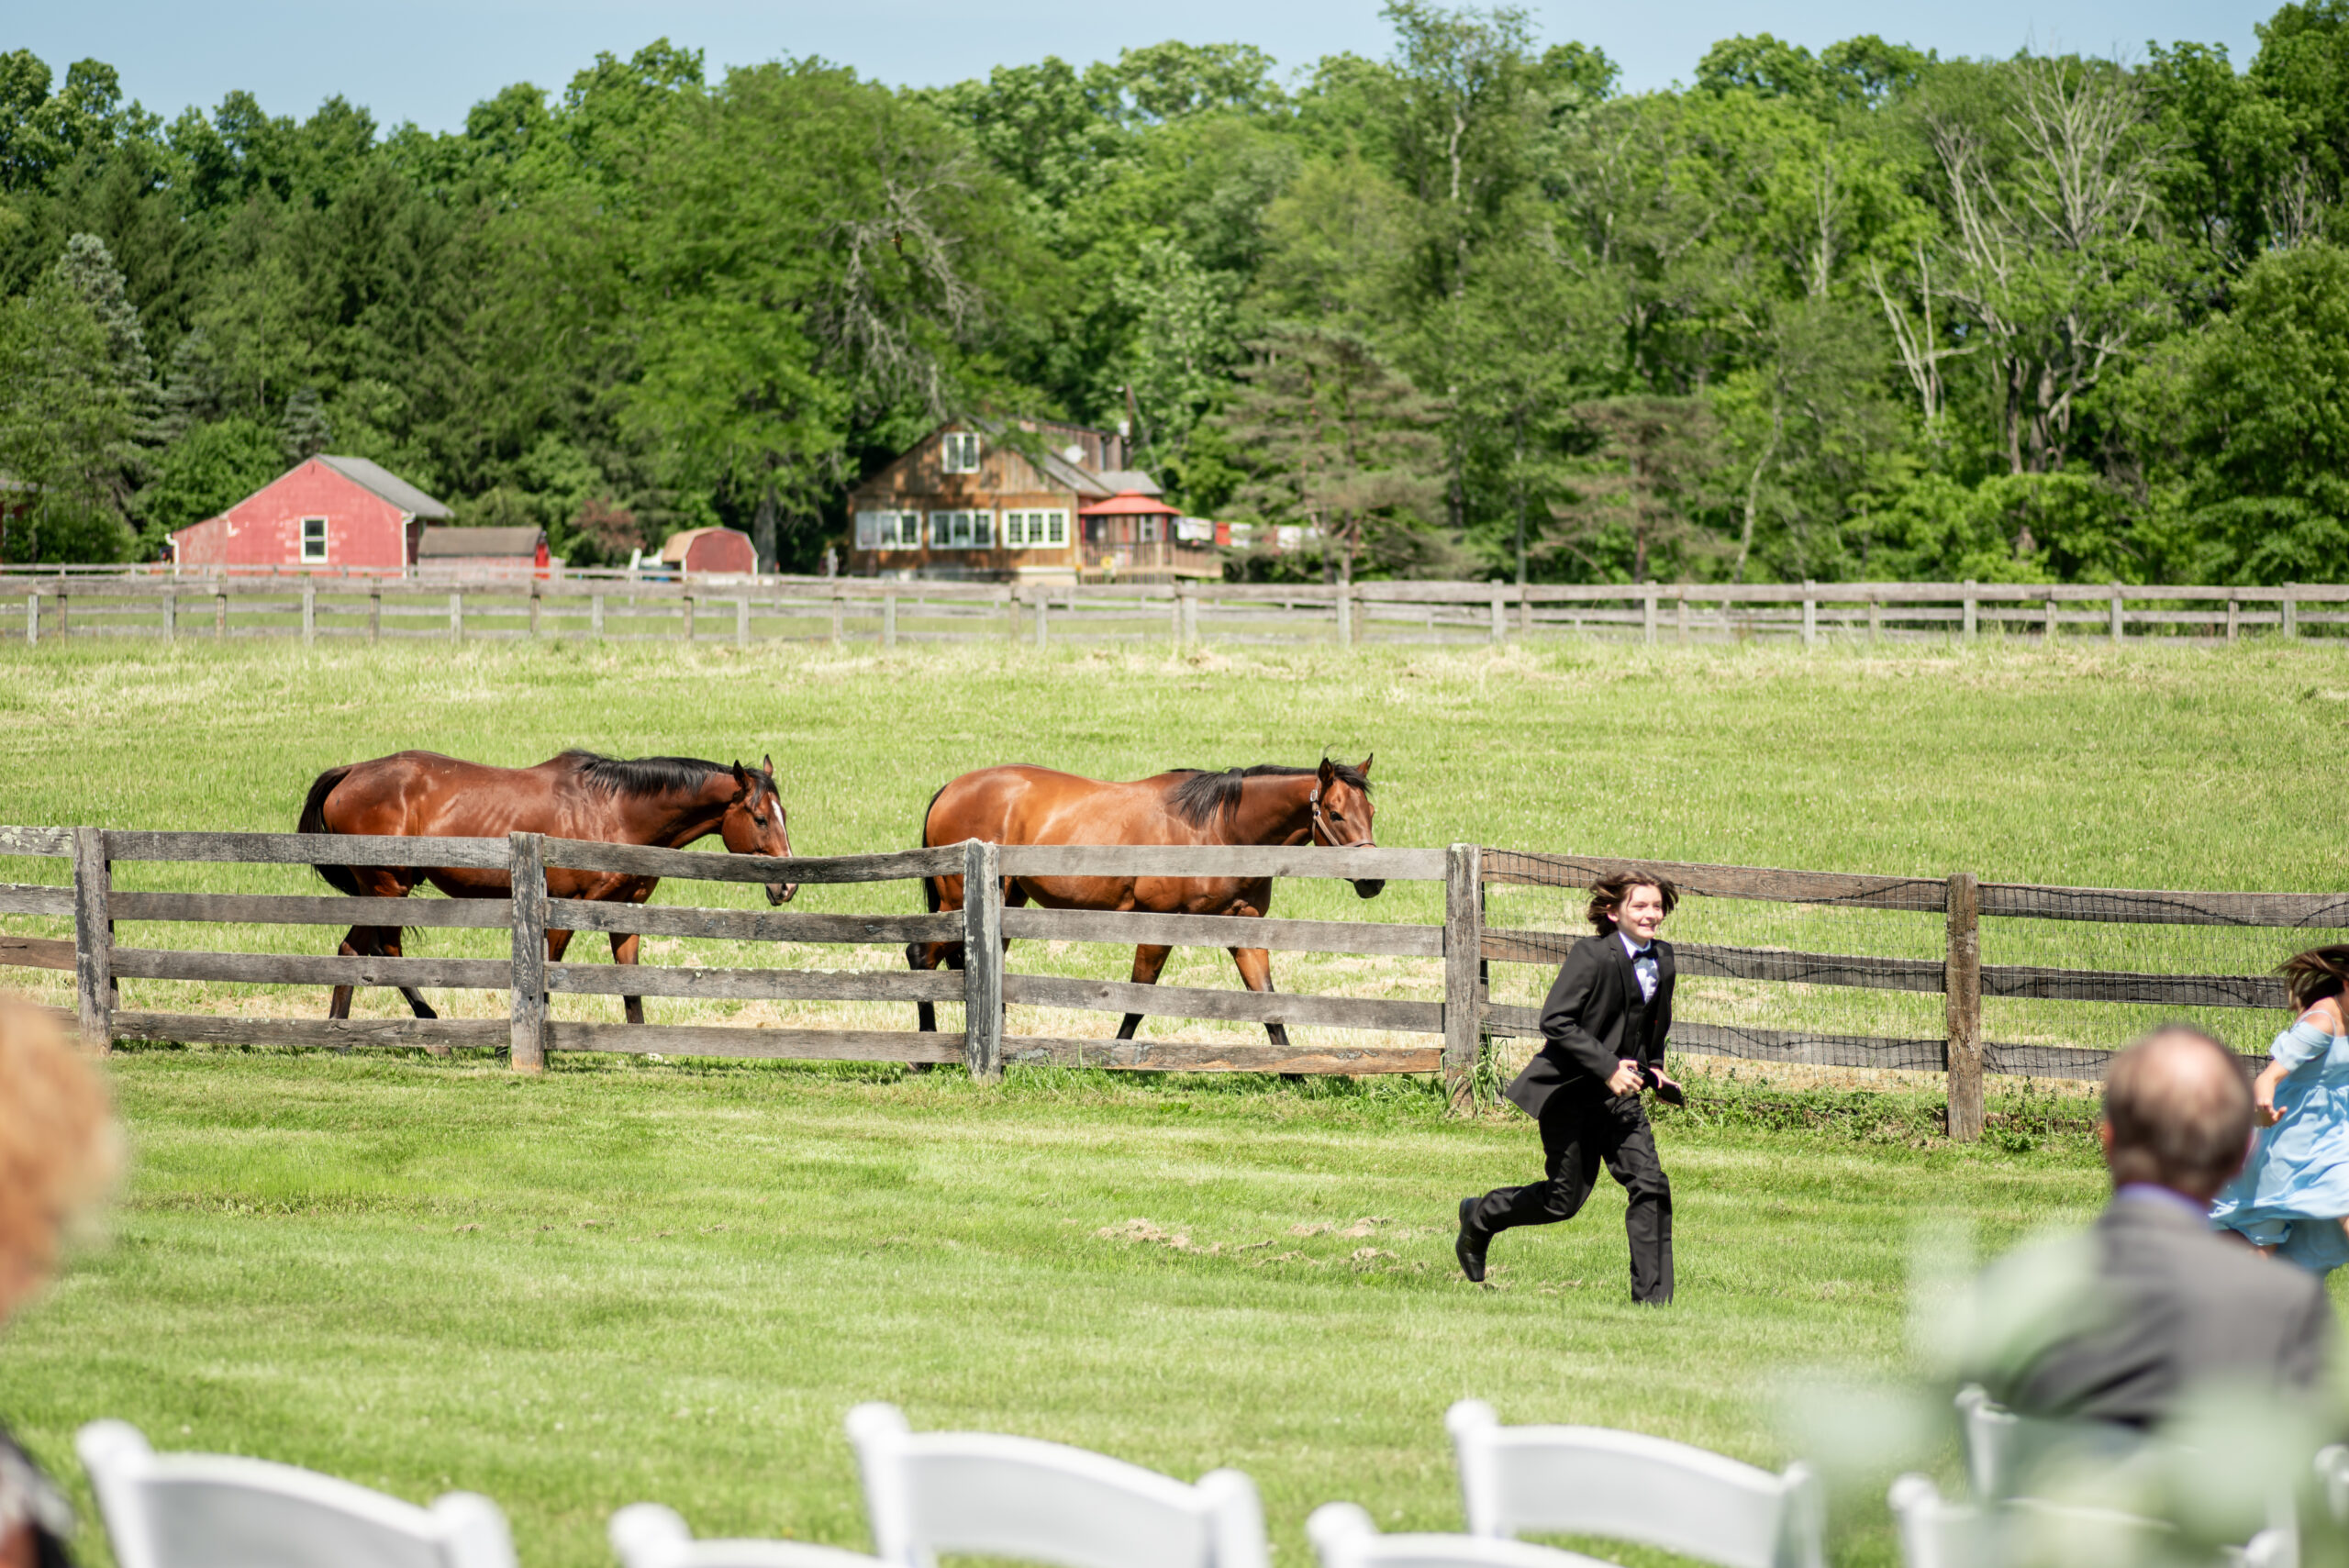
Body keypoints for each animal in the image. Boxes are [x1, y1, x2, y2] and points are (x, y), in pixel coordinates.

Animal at [300, 751, 798, 1023]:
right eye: (760, 818)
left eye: (783, 815)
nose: (788, 885)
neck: (615, 812)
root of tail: (351, 772)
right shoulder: (564, 910)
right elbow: (547, 973)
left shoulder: (625, 913)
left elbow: (630, 982)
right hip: (387, 887)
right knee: (377, 952)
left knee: (357, 951)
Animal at [902, 755, 1372, 1047]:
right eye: (1335, 813)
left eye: (1371, 811)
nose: (1372, 881)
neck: (1218, 829)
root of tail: (951, 789)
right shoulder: (1159, 923)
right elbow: (1138, 998)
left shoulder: (1243, 929)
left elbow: (1268, 1001)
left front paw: (1294, 1072)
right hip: (956, 901)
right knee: (920, 956)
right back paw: (922, 1053)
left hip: (1004, 903)